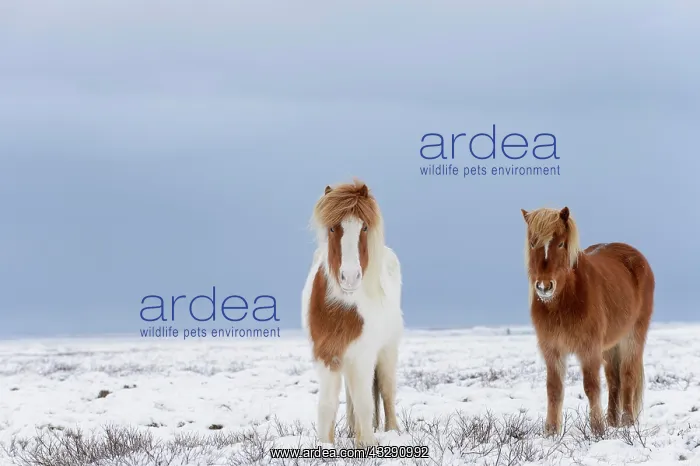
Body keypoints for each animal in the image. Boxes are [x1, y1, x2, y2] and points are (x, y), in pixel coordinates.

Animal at [301, 179, 404, 447]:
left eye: (364, 227)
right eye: (332, 228)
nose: (349, 277)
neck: (343, 309)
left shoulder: (364, 356)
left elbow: (366, 402)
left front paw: (367, 443)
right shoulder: (327, 355)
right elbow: (328, 404)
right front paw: (325, 445)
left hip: (387, 350)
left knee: (386, 391)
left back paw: (392, 432)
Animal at [520, 206, 654, 436]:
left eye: (561, 244)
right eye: (532, 243)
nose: (544, 287)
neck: (564, 302)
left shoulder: (589, 349)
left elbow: (591, 387)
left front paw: (597, 429)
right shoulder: (552, 349)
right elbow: (554, 389)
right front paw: (551, 431)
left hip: (633, 336)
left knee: (627, 375)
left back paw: (627, 422)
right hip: (610, 345)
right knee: (614, 379)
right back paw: (612, 421)